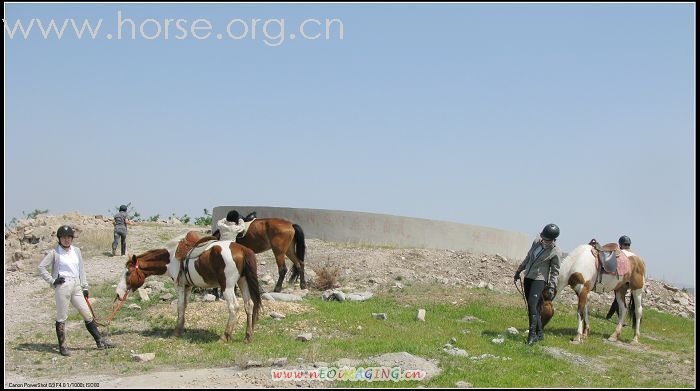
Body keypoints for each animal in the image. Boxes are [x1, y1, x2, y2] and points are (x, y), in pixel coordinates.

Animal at [115, 236, 262, 344]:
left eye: (128, 273)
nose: (118, 294)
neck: (171, 258)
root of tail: (242, 249)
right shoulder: (187, 286)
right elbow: (184, 305)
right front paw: (181, 329)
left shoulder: (179, 285)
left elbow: (180, 306)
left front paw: (176, 332)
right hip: (243, 282)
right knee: (249, 305)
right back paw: (248, 337)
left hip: (228, 286)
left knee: (233, 307)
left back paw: (225, 336)